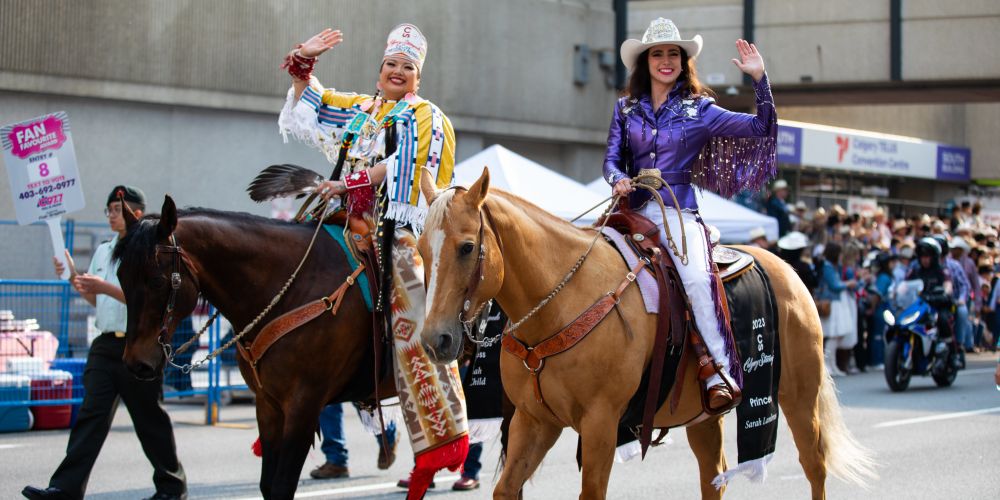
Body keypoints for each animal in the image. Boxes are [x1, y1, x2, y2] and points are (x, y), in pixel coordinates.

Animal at [109, 198, 390, 500]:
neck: (296, 287)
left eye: (157, 281)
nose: (136, 362)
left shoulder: (304, 405)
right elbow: (267, 485)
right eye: (121, 277)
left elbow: (282, 486)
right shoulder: (268, 405)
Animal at [414, 170, 876, 498]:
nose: (436, 340)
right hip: (703, 416)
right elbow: (506, 488)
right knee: (714, 476)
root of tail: (788, 268)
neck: (563, 302)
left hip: (797, 397)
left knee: (814, 466)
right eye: (419, 250)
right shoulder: (535, 421)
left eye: (467, 247)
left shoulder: (600, 425)